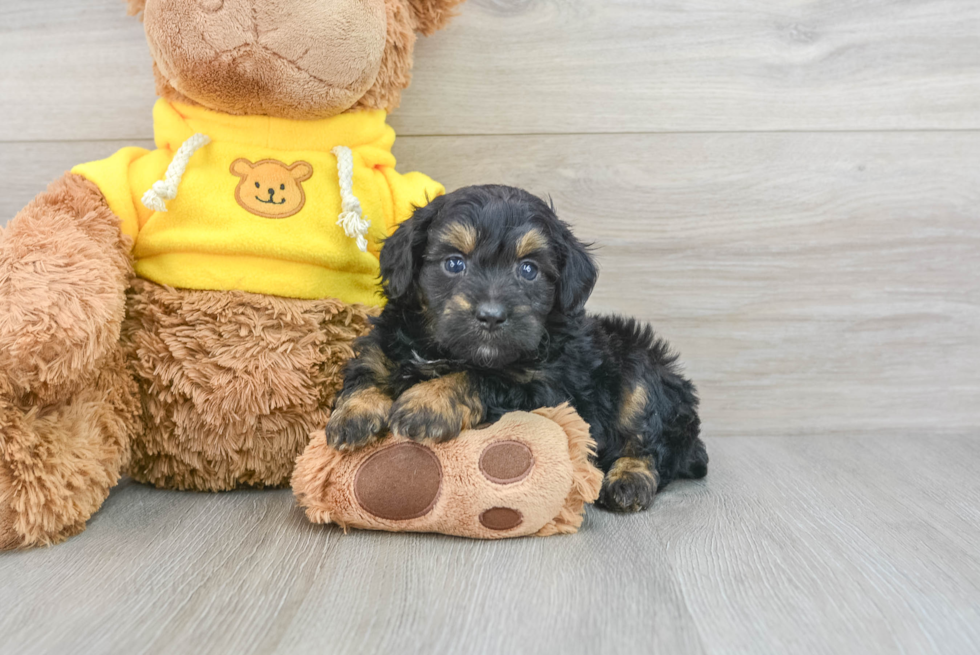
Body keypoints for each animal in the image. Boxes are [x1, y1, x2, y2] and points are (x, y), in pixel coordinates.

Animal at [326, 184, 708, 512]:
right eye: (454, 263)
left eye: (528, 269)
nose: (492, 316)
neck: (450, 350)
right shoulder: (385, 344)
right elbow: (367, 370)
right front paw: (353, 414)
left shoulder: (547, 389)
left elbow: (481, 378)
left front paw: (428, 402)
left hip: (640, 371)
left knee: (649, 441)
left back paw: (628, 480)